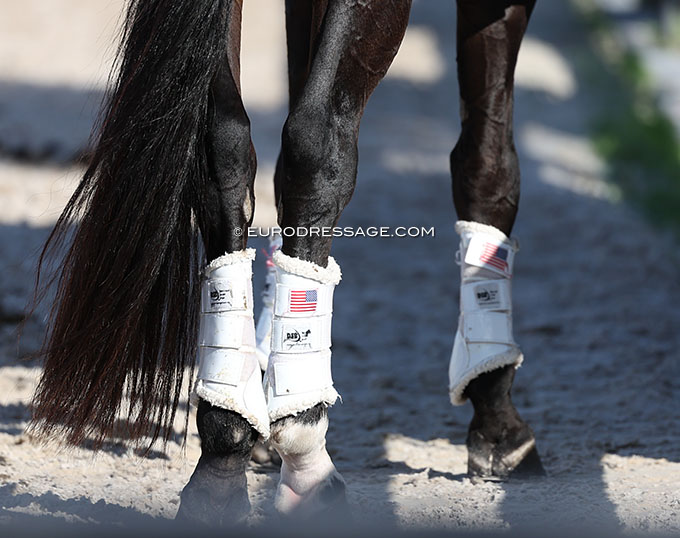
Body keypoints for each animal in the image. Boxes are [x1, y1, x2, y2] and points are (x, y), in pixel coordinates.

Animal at [29, 0, 543, 526]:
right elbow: (487, 167)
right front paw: (497, 414)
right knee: (317, 144)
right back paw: (305, 460)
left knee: (224, 149)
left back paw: (226, 454)